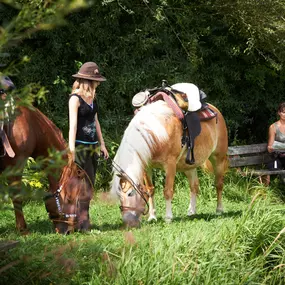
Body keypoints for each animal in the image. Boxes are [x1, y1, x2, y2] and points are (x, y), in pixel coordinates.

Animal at [0, 105, 92, 233]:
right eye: (69, 199)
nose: (69, 230)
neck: (30, 123)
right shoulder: (15, 165)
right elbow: (17, 196)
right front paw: (22, 229)